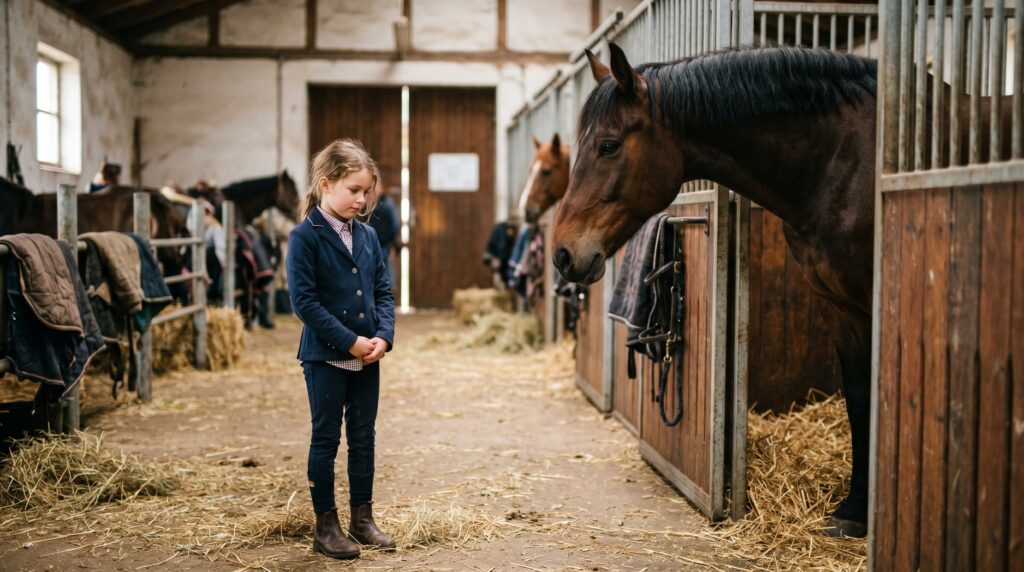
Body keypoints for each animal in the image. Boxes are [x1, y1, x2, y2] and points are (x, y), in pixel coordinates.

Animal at [552, 44, 1014, 537]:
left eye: (609, 145)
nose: (562, 253)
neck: (843, 161)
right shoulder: (838, 306)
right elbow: (858, 396)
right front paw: (854, 511)